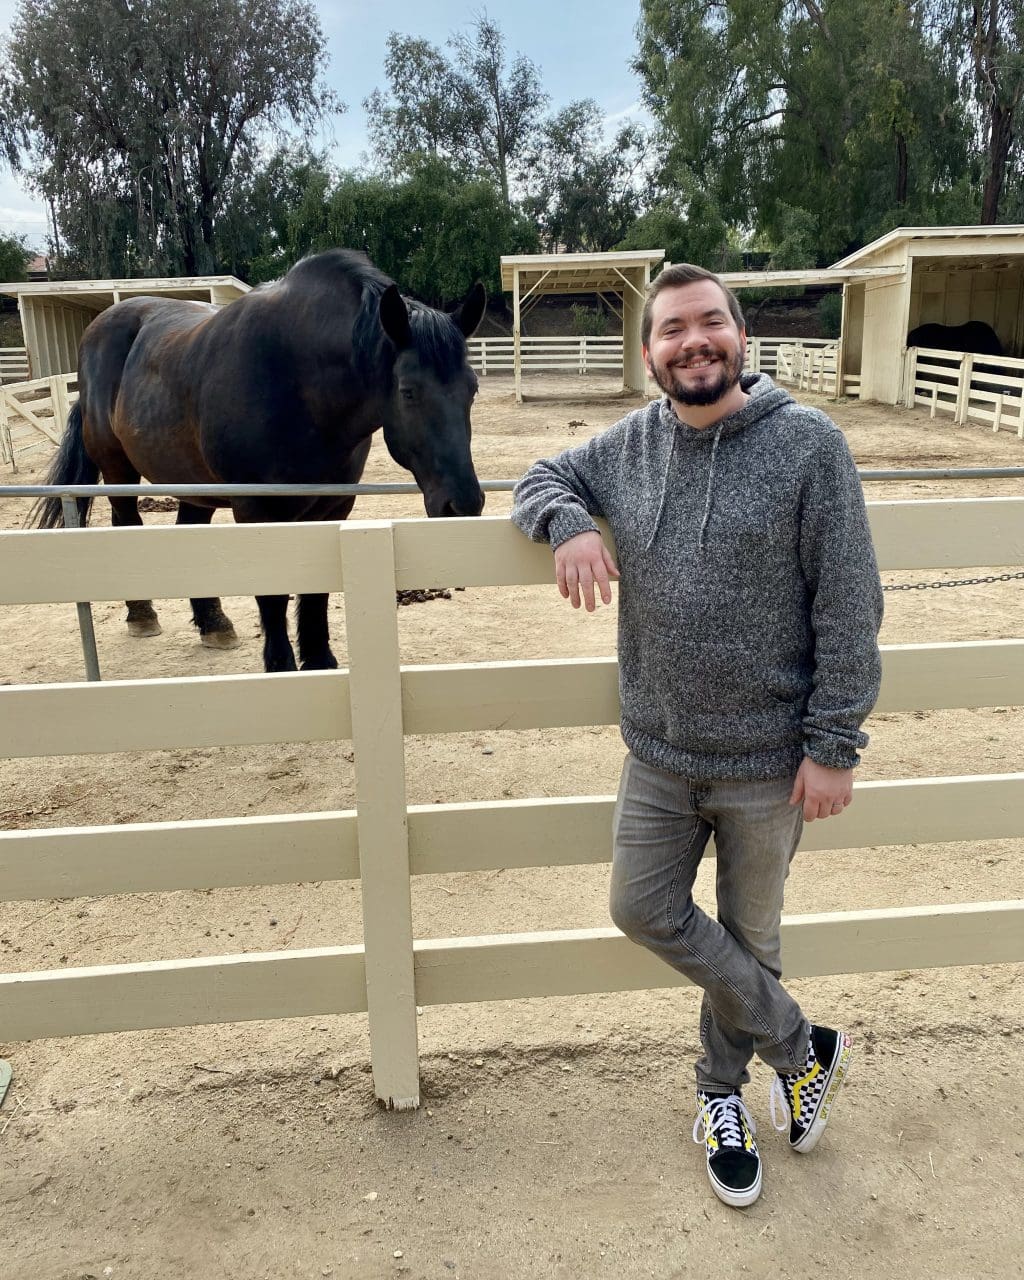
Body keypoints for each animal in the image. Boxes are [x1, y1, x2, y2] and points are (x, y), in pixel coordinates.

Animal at [30, 250, 486, 672]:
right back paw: (142, 615)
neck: (299, 381)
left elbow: (316, 590)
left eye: (472, 388)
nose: (462, 504)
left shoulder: (332, 507)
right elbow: (272, 593)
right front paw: (281, 666)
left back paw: (214, 623)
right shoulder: (257, 508)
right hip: (118, 470)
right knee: (126, 521)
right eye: (408, 391)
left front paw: (320, 661)